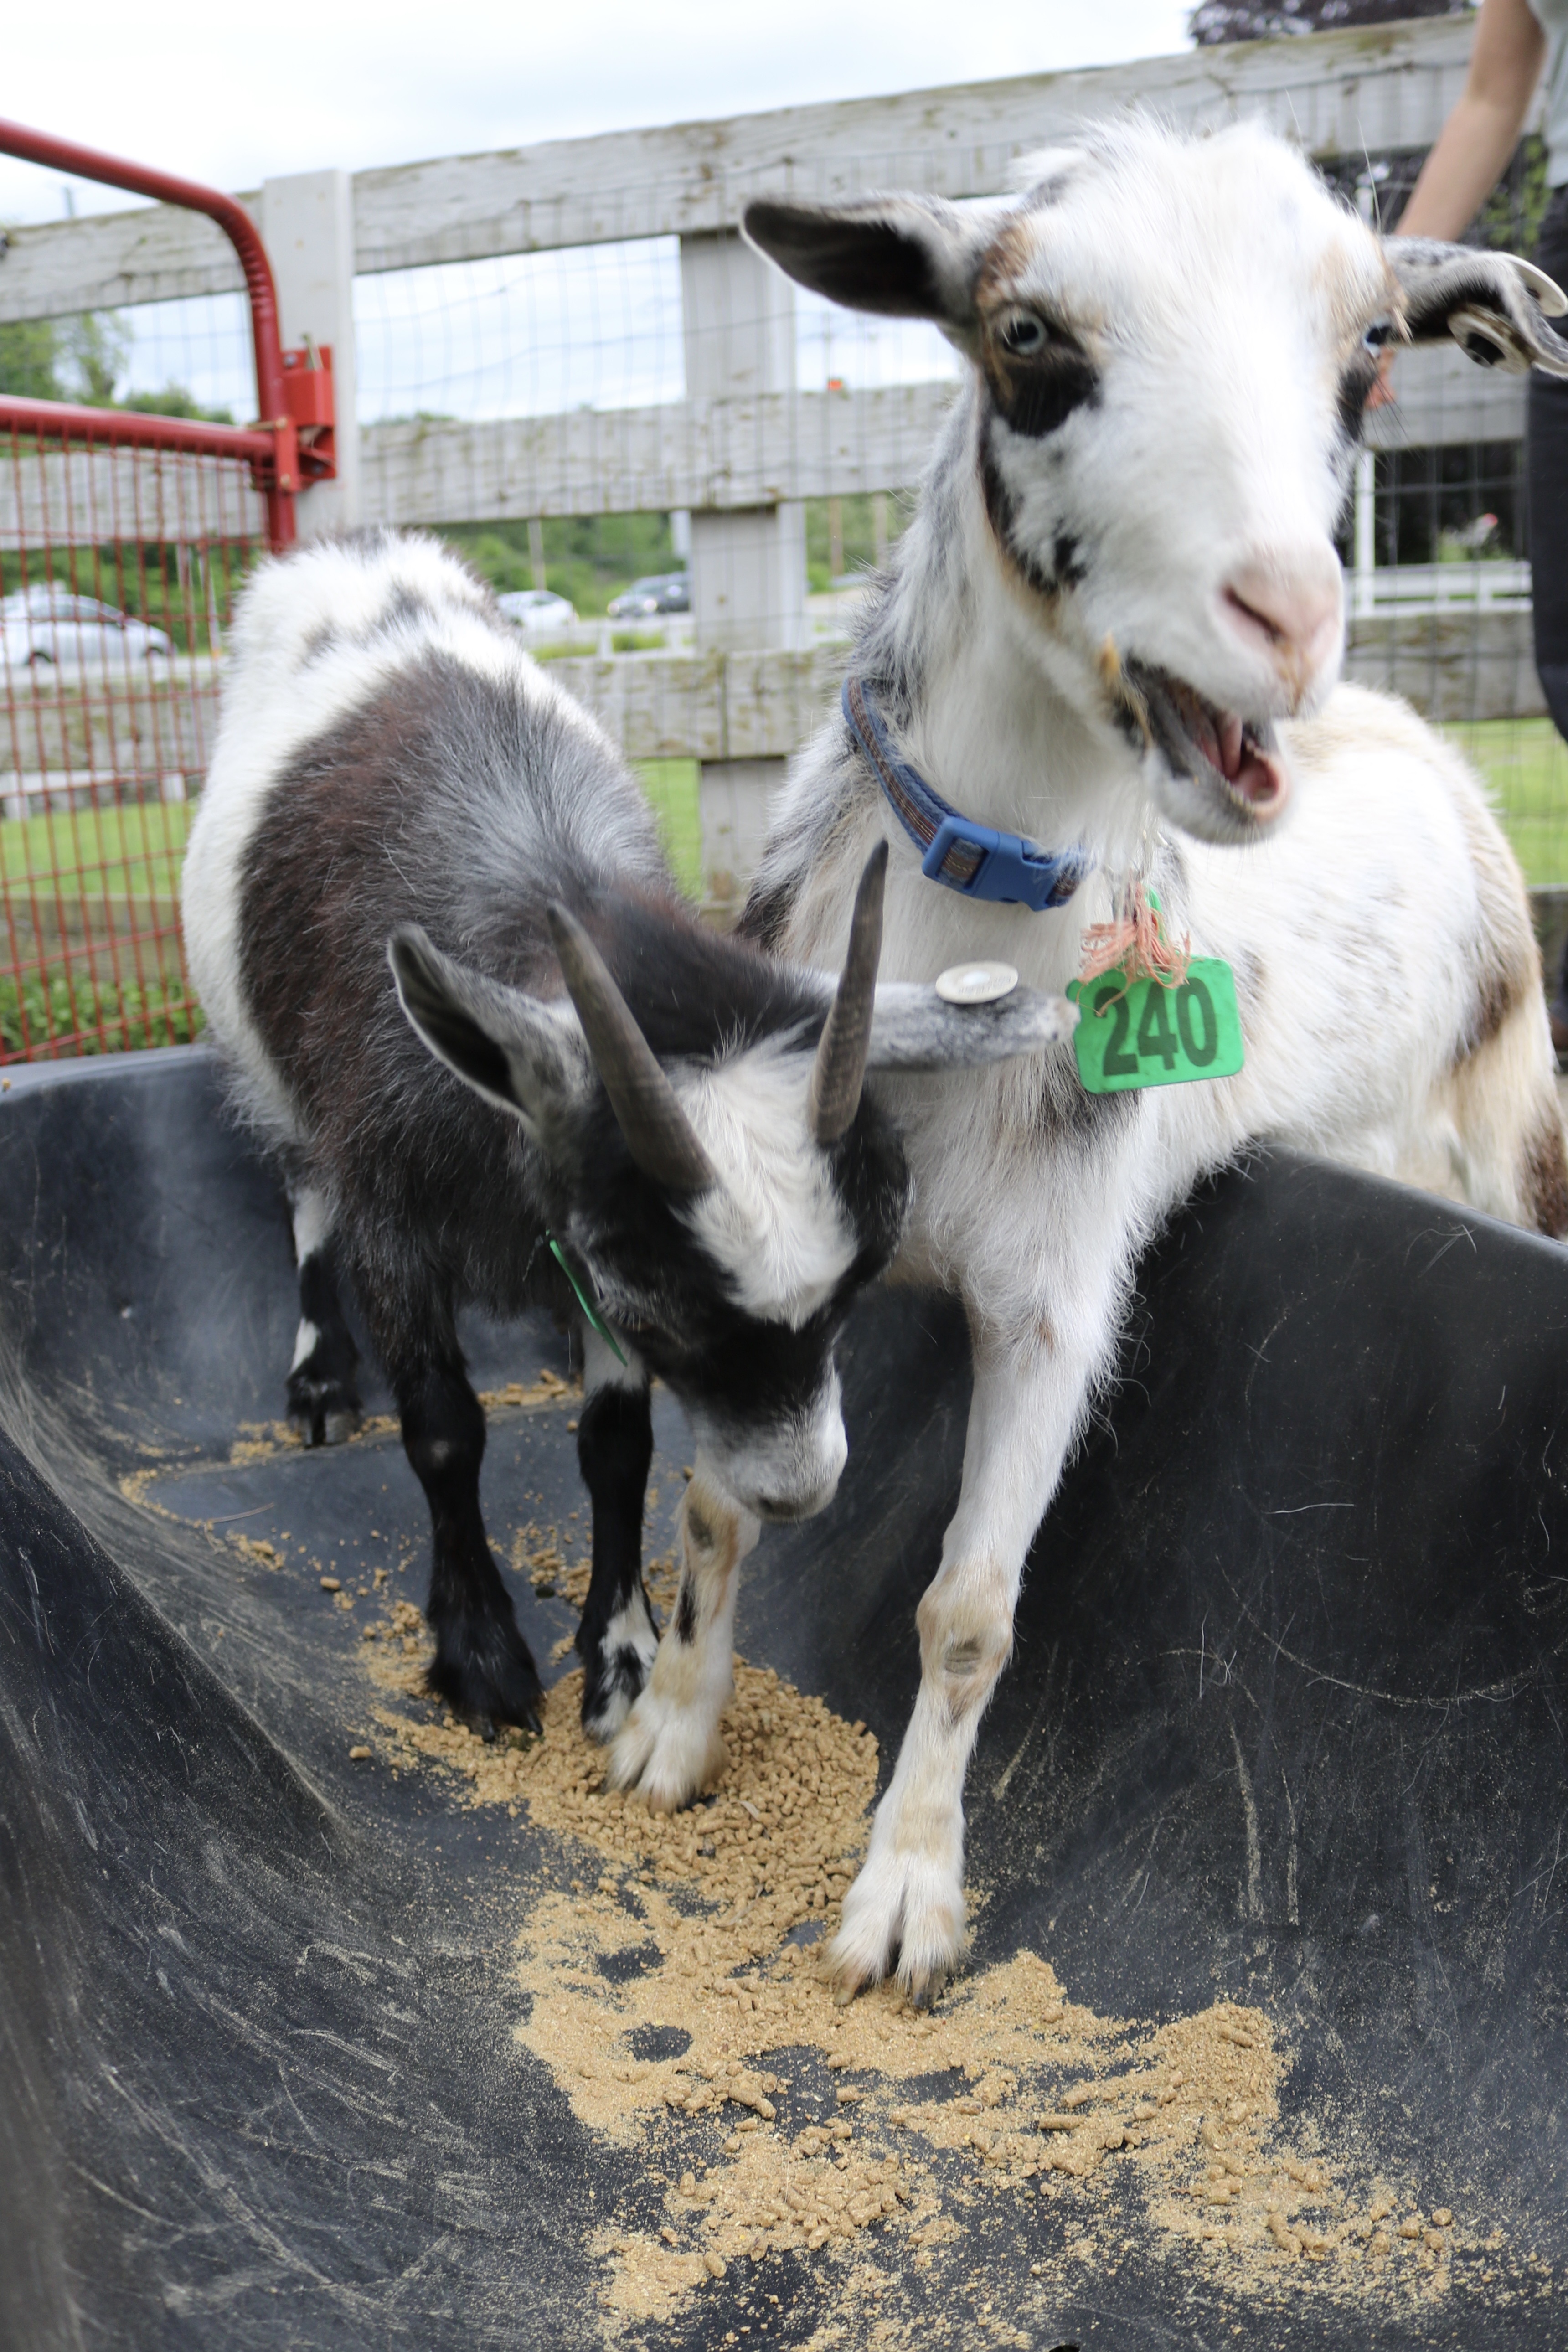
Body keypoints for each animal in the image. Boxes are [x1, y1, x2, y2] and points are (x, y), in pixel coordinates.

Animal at [180, 529, 1073, 1754]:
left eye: (856, 1292)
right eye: (657, 1308)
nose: (796, 1494)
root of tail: (363, 553)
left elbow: (616, 1448)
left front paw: (622, 1656)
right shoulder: (400, 1209)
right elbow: (444, 1429)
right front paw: (481, 1657)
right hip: (271, 1069)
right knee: (301, 1184)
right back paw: (319, 1382)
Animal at [591, 119, 1568, 1995]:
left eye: (1369, 345)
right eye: (1027, 334)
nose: (1283, 616)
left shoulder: (1056, 1293)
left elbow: (966, 1611)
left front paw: (901, 1900)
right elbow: (714, 1507)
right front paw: (667, 1736)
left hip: (1497, 1129)